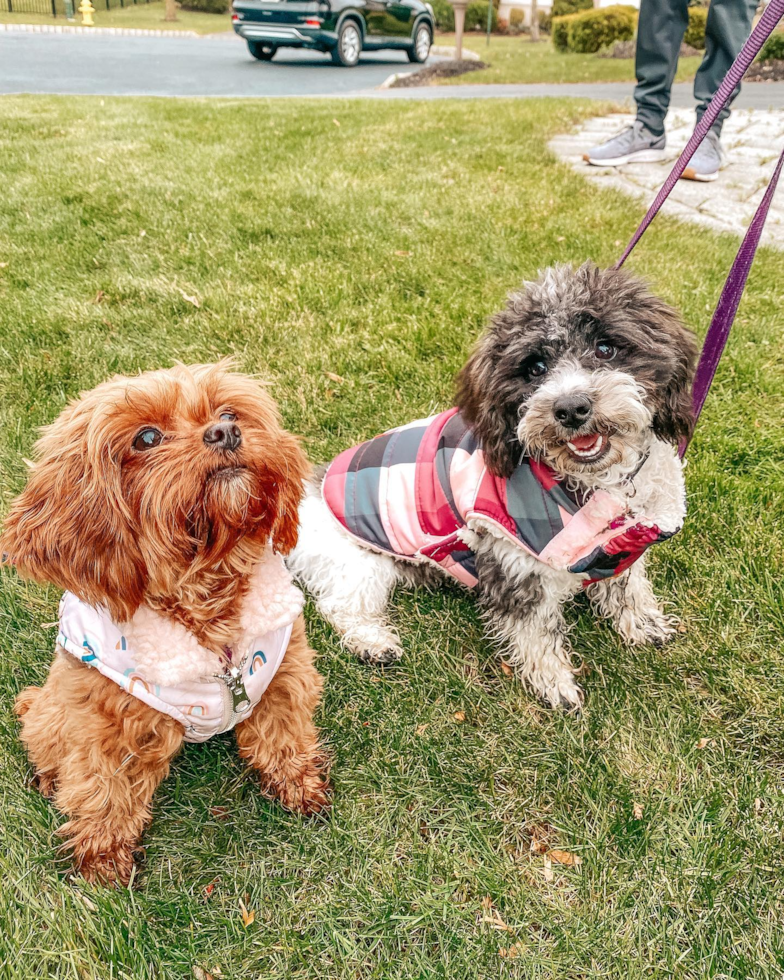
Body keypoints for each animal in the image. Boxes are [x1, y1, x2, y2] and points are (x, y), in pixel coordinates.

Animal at [0, 364, 330, 884]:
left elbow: (283, 732)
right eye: (147, 438)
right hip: (58, 702)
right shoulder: (105, 722)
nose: (225, 432)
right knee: (45, 735)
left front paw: (299, 783)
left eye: (229, 413)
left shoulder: (283, 670)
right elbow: (104, 788)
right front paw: (102, 861)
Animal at [290, 264, 700, 708]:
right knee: (341, 606)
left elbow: (627, 585)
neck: (592, 484)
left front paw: (643, 624)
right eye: (535, 368)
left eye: (606, 348)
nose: (571, 408)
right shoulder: (515, 563)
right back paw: (374, 644)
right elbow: (534, 630)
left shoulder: (625, 540)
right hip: (358, 563)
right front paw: (554, 684)